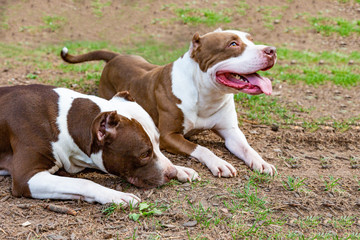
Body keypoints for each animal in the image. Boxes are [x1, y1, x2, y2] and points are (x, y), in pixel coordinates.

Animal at [0, 84, 200, 204]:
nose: (170, 173)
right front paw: (117, 195)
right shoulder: (26, 178)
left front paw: (181, 169)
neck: (65, 122)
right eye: (144, 154)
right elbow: (84, 183)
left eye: (158, 143)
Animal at [60, 28, 278, 178]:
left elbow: (247, 147)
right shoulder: (168, 136)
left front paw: (261, 162)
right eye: (232, 44)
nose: (272, 50)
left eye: (251, 40)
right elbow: (200, 148)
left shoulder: (231, 132)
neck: (207, 94)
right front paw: (219, 162)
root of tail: (116, 56)